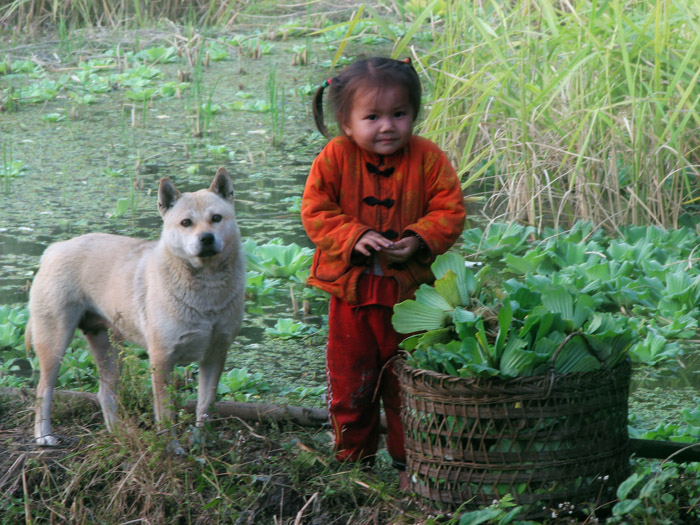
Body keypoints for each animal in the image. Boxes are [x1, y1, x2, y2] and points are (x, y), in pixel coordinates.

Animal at [26, 168, 245, 446]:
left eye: (216, 218)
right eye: (186, 223)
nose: (206, 238)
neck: (206, 287)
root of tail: (55, 248)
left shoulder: (215, 355)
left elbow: (205, 405)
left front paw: (201, 443)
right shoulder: (162, 358)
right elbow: (165, 411)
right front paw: (171, 448)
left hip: (109, 347)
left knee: (104, 392)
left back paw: (117, 433)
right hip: (54, 343)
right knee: (43, 390)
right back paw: (44, 435)